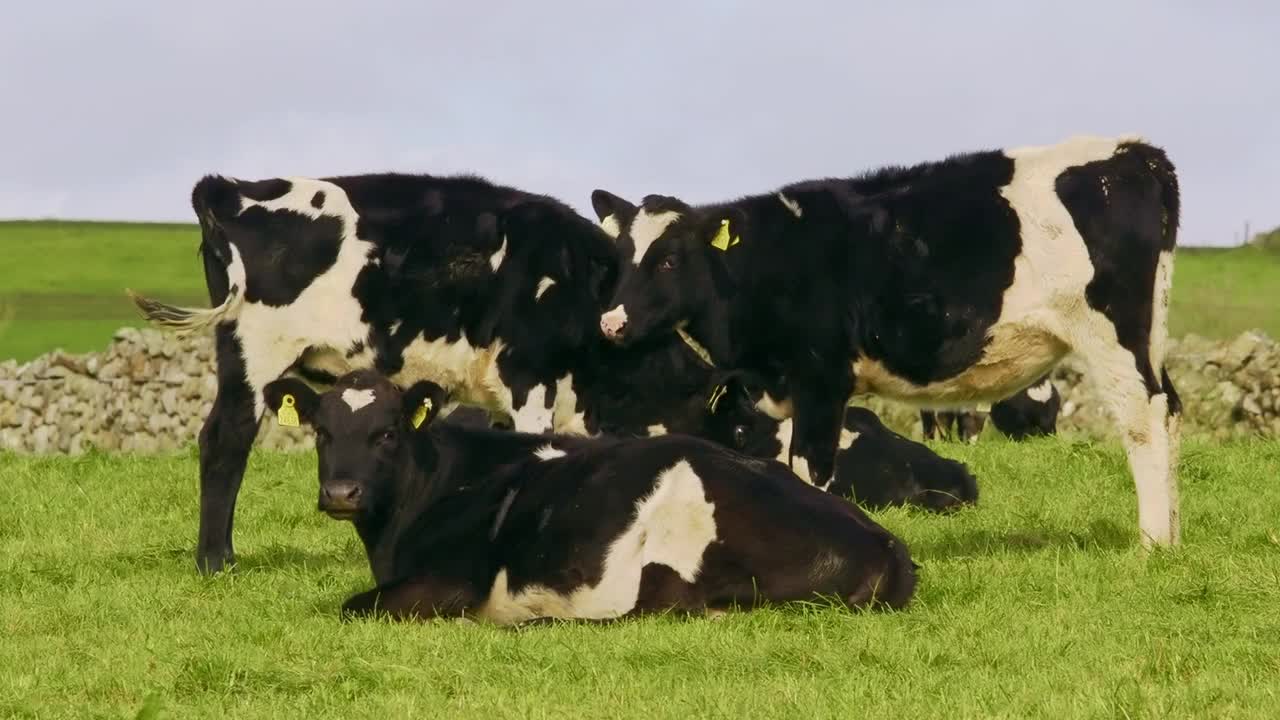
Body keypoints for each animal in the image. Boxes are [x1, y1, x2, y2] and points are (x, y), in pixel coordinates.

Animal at [262, 366, 921, 620]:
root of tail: (885, 541)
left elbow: (352, 606)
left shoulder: (451, 581)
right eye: (323, 432)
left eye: (388, 432)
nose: (342, 491)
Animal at [593, 134, 1182, 543]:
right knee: (1171, 410)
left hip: (1113, 335)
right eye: (620, 257)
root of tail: (1135, 153)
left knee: (1144, 421)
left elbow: (810, 466)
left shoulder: (822, 378)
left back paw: (1152, 544)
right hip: (1151, 333)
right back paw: (1174, 535)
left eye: (669, 259)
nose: (612, 323)